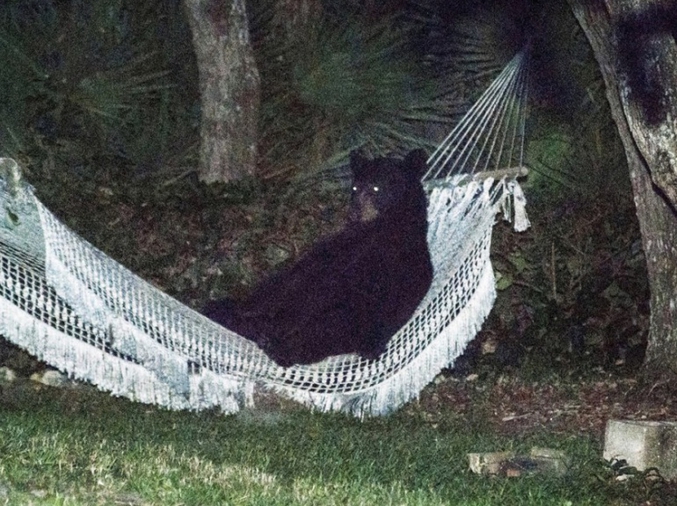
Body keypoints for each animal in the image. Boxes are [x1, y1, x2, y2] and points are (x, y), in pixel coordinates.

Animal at [202, 148, 434, 366]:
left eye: (376, 188)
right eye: (355, 188)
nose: (353, 213)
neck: (383, 226)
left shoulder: (380, 260)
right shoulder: (336, 251)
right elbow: (295, 280)